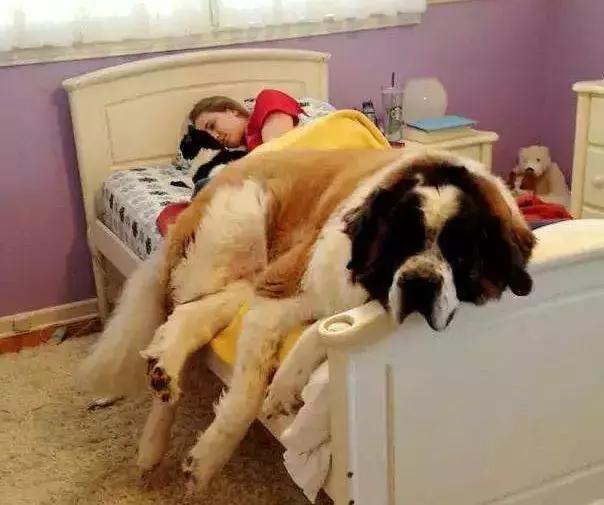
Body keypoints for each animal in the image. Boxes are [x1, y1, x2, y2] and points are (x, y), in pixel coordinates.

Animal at [78, 148, 535, 495]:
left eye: (461, 254)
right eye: (398, 243)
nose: (420, 280)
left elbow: (325, 327)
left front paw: (285, 384)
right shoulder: (280, 290)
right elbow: (246, 397)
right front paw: (207, 461)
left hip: (246, 278)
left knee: (188, 316)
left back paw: (162, 381)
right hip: (238, 231)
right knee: (175, 311)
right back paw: (155, 432)